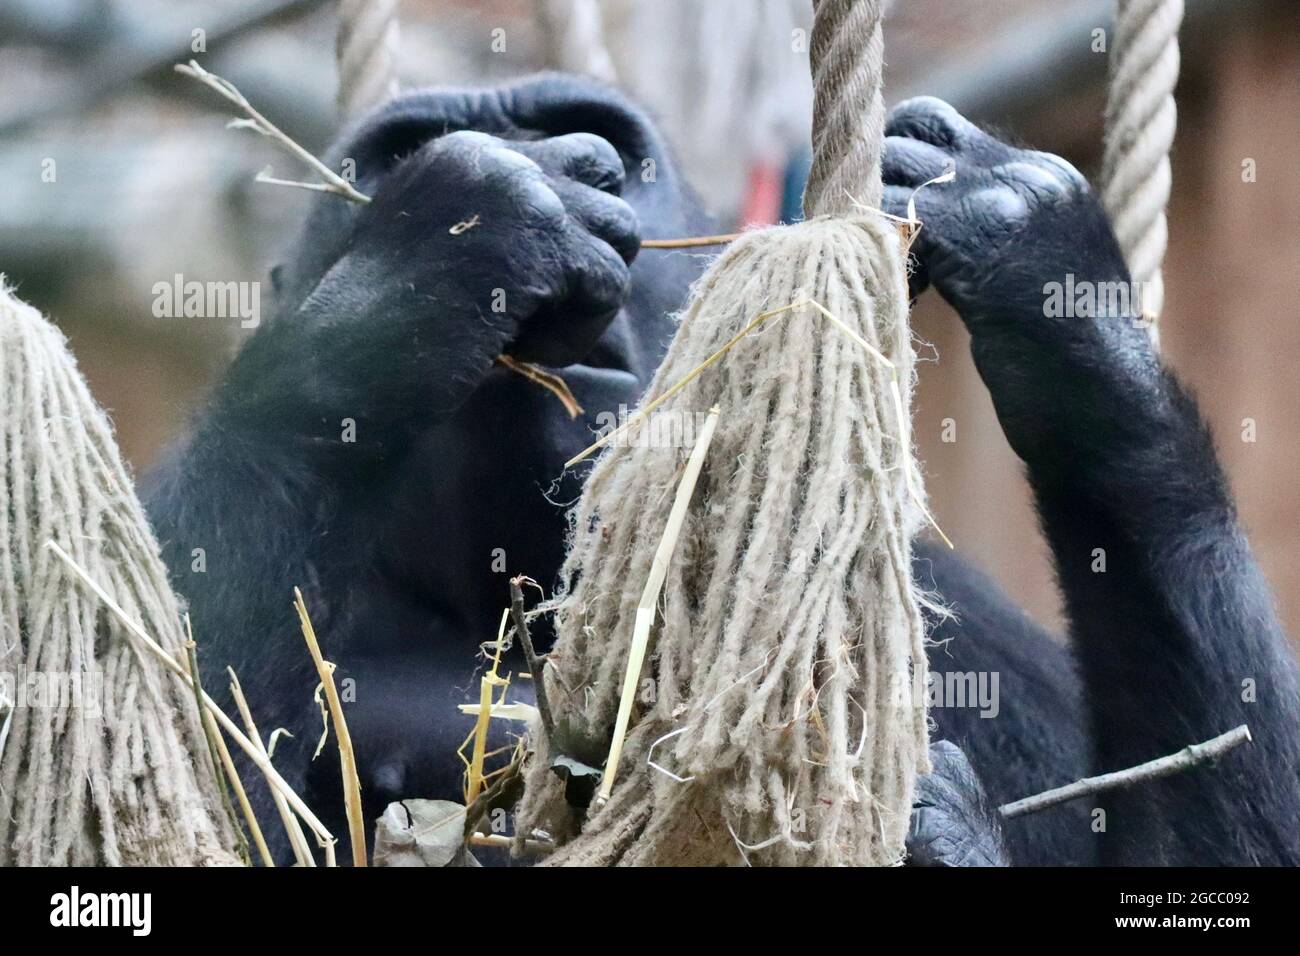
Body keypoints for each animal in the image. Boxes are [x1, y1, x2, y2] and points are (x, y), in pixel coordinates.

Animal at [142, 74, 1300, 868]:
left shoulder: (980, 637)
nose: (566, 164)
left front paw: (1060, 299)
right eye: (401, 150)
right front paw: (436, 251)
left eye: (607, 142)